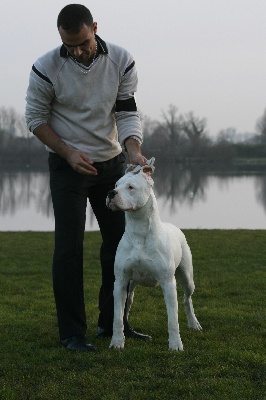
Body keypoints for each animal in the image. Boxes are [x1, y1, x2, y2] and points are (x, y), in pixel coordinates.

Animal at [106, 159, 202, 350]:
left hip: (187, 277)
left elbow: (172, 319)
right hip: (131, 286)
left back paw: (193, 323)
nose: (111, 193)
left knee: (187, 299)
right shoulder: (120, 282)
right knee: (128, 305)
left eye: (130, 187)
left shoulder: (168, 283)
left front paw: (175, 344)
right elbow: (117, 317)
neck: (139, 233)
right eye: (116, 185)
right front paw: (117, 342)